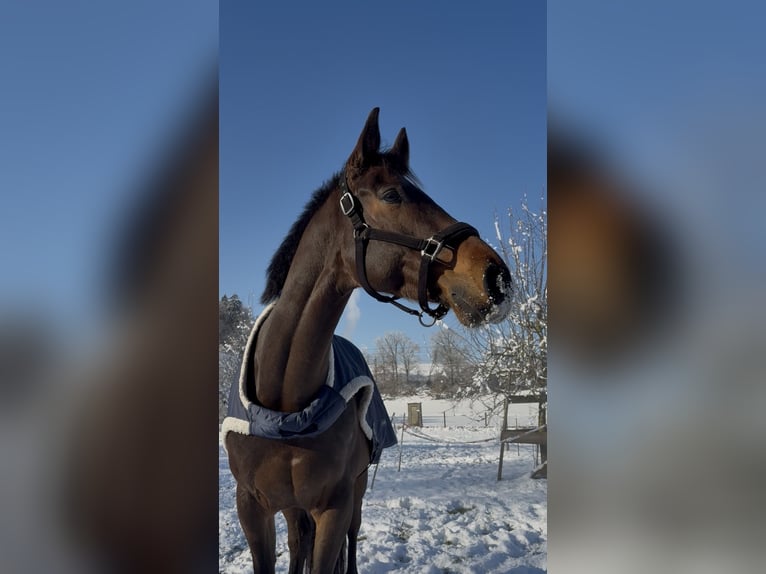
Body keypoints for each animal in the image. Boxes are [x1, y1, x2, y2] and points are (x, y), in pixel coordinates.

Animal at [223, 107, 512, 573]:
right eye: (392, 195)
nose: (496, 277)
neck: (286, 402)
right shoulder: (252, 508)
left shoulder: (335, 507)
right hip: (293, 507)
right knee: (298, 541)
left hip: (355, 493)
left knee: (350, 541)